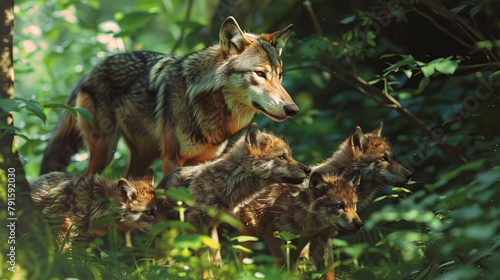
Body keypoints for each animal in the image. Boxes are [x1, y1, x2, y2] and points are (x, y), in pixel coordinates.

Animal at [41, 15, 296, 177]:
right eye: (260, 73)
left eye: (280, 75)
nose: (293, 110)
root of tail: (90, 71)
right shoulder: (172, 159)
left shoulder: (204, 161)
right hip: (104, 149)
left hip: (140, 156)